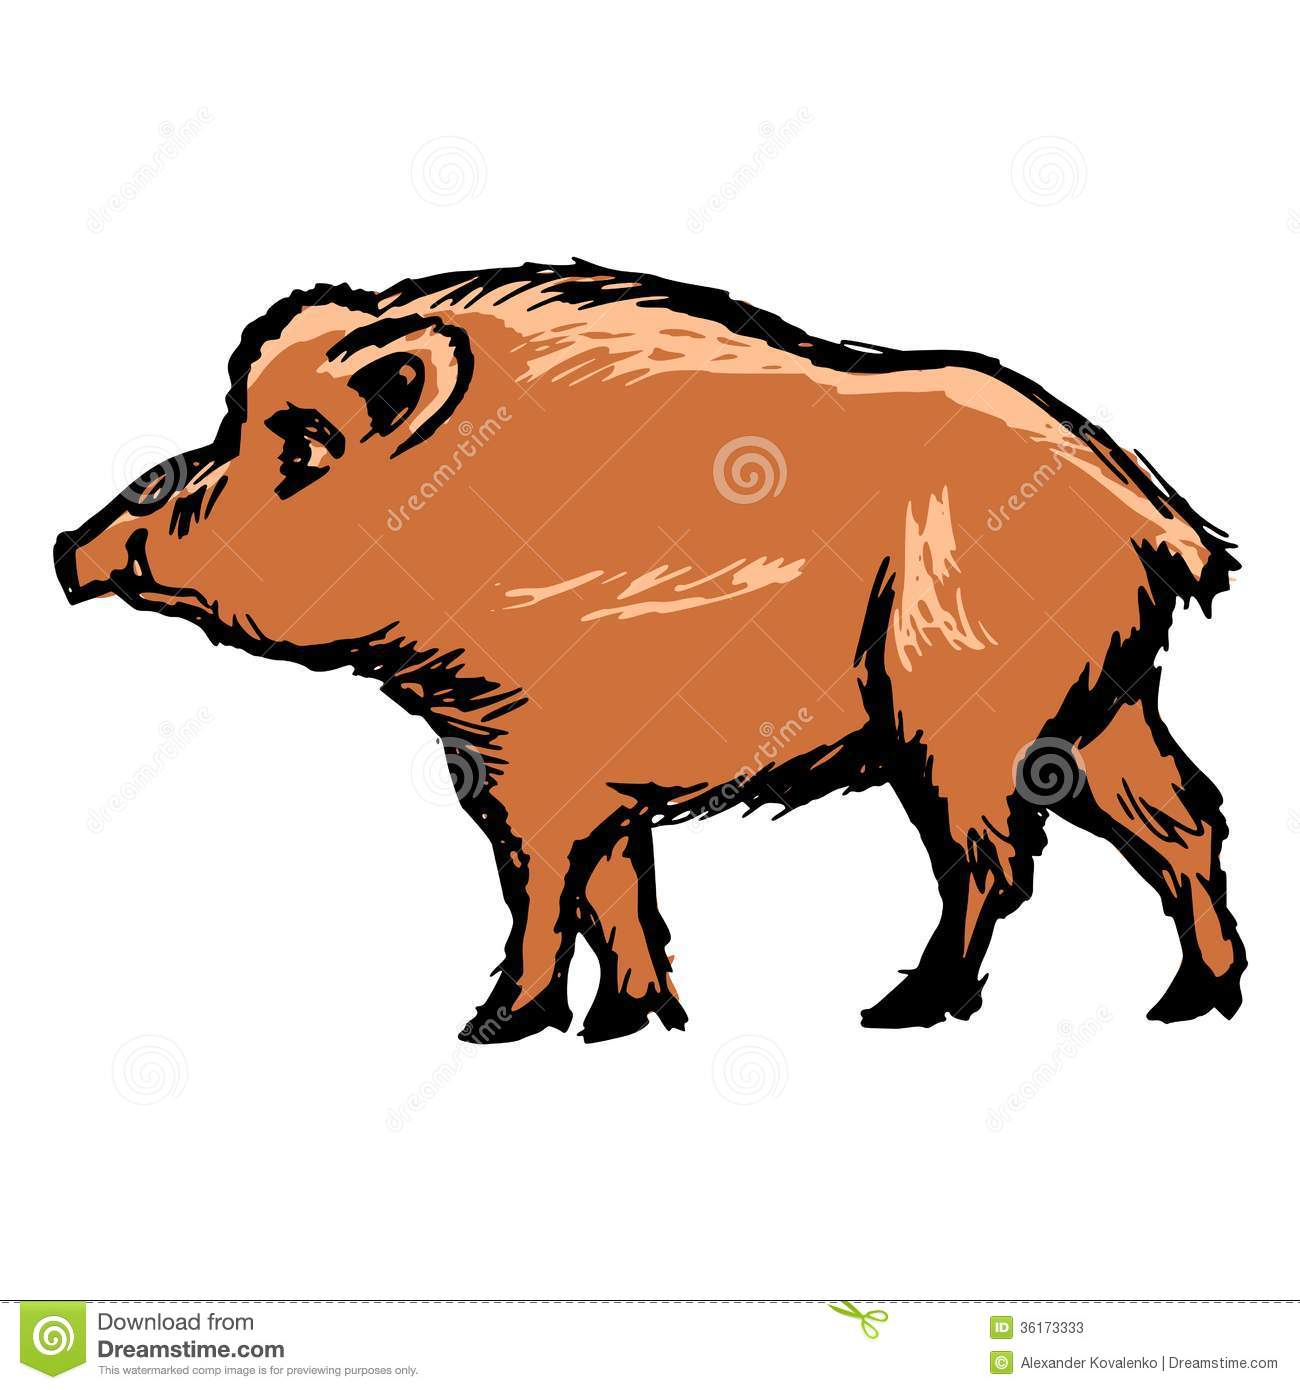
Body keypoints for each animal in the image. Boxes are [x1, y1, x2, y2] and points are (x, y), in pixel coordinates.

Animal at [55, 260, 1244, 1042]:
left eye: (299, 447)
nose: (73, 548)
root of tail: (1161, 517)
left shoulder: (533, 764)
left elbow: (541, 891)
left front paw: (493, 1028)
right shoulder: (588, 780)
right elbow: (617, 895)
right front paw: (632, 1025)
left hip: (958, 717)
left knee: (994, 858)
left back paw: (895, 1011)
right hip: (1100, 709)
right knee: (1183, 819)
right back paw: (1191, 1003)